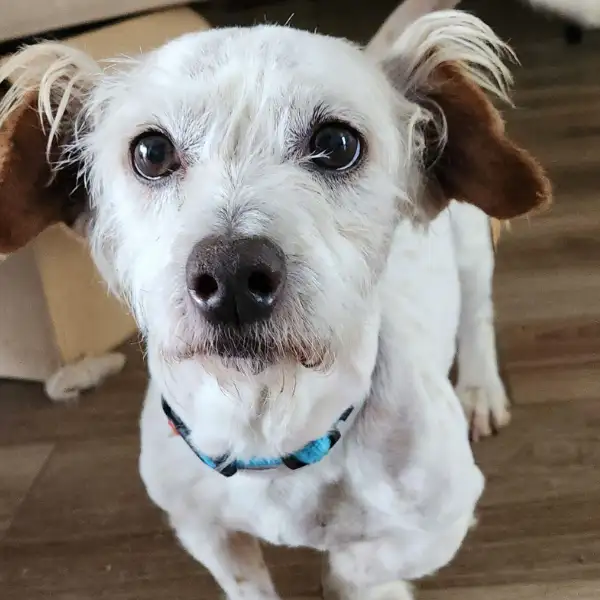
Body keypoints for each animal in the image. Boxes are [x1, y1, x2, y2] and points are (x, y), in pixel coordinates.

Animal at [0, 7, 552, 596]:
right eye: (151, 151)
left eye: (337, 143)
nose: (232, 275)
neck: (267, 432)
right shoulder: (203, 530)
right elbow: (251, 582)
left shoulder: (442, 521)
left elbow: (357, 564)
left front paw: (370, 583)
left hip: (471, 247)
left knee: (477, 313)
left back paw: (480, 388)